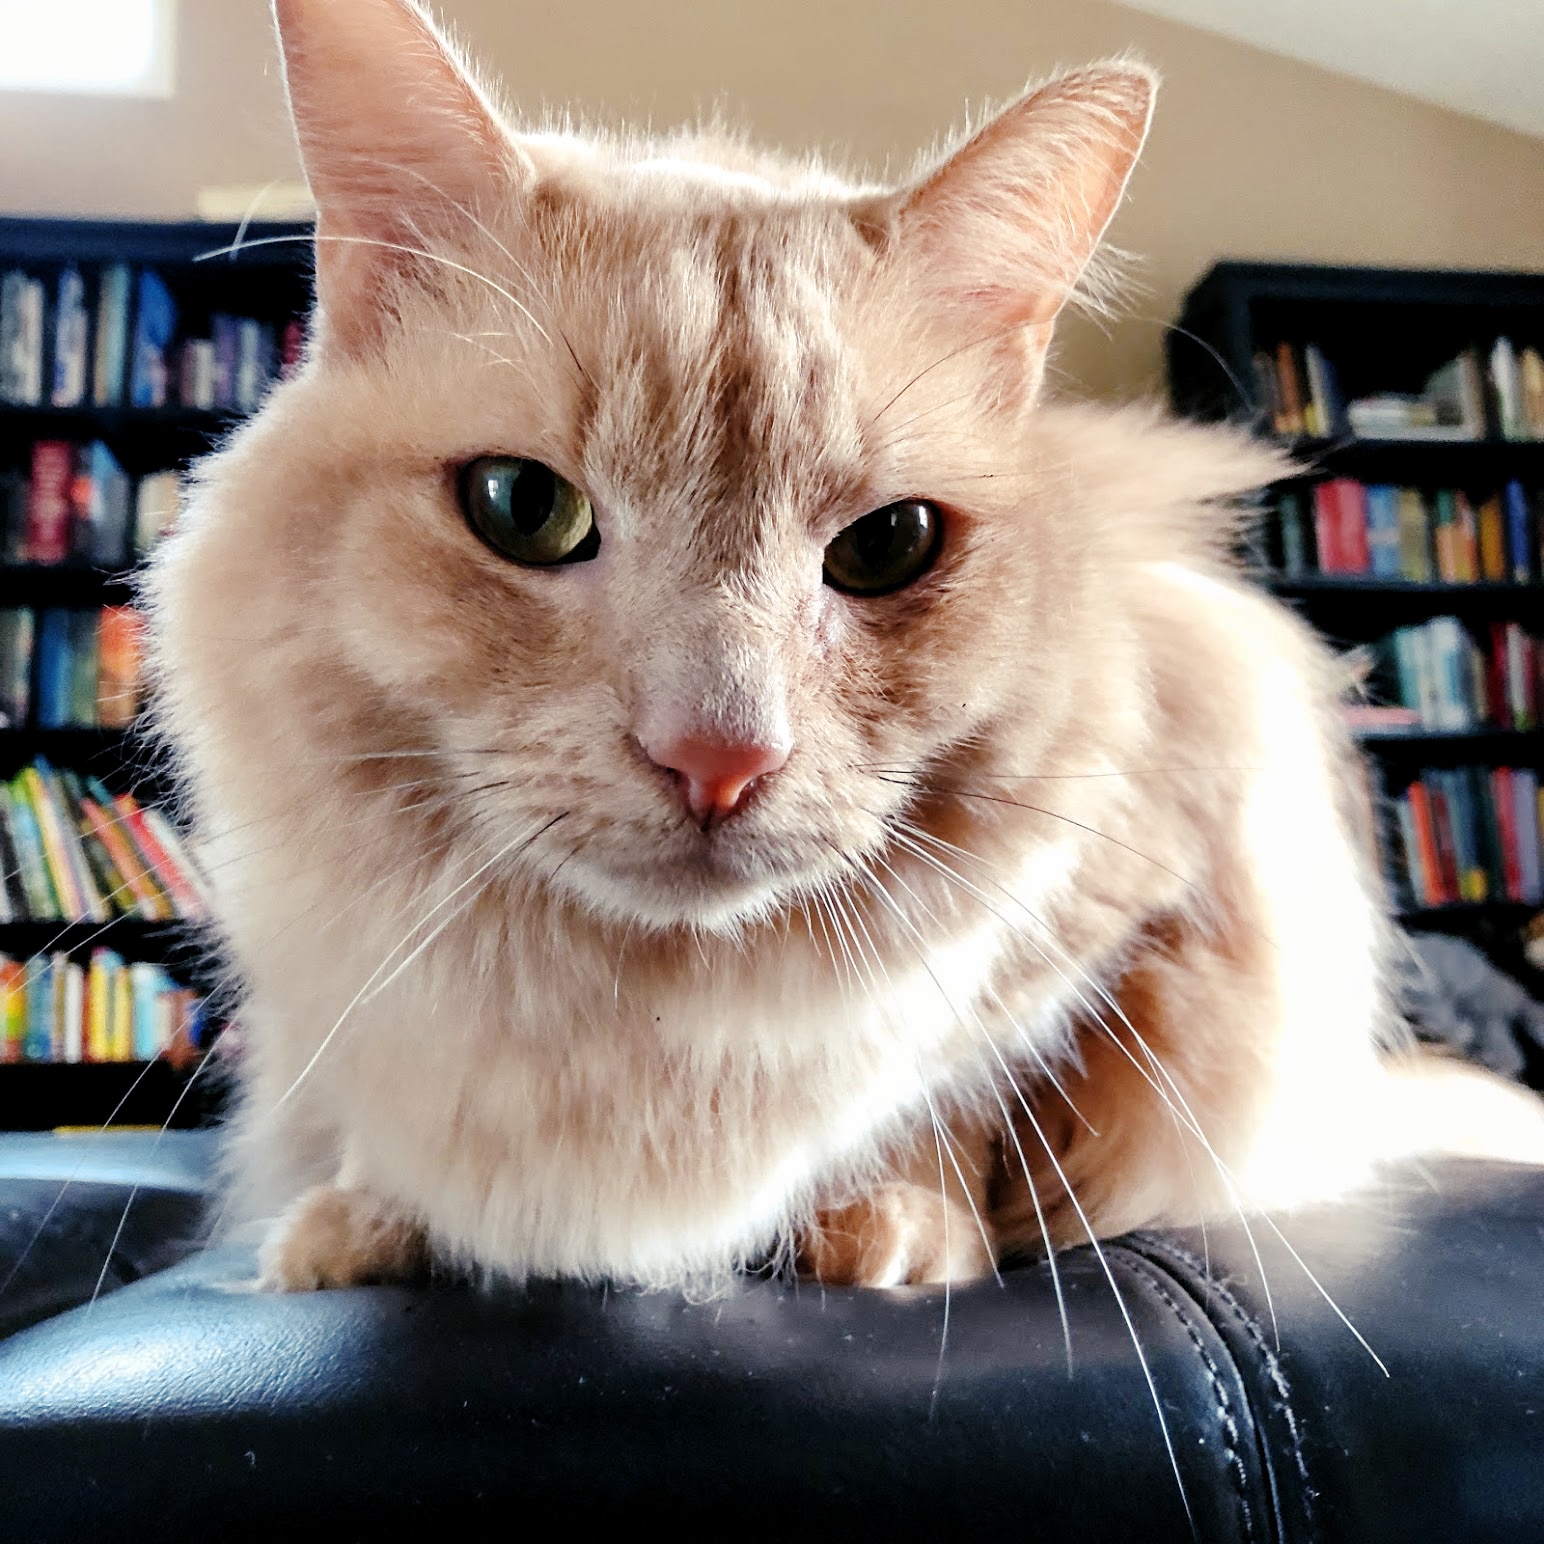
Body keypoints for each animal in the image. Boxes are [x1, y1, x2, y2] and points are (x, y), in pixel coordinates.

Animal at [145, 0, 1544, 1290]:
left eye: (885, 546)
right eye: (522, 508)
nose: (716, 759)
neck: (652, 1010)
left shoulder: (1119, 906)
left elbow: (955, 1095)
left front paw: (895, 1221)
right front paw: (356, 1219)